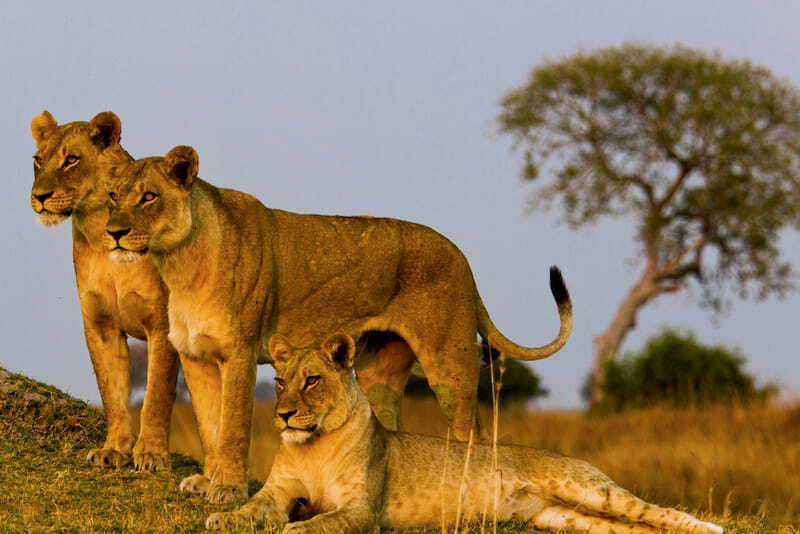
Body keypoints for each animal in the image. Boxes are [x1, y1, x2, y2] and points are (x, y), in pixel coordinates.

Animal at [29, 111, 178, 472]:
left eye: (71, 159)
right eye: (38, 160)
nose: (39, 197)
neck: (99, 232)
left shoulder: (162, 324)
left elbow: (156, 393)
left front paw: (151, 454)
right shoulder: (100, 324)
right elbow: (111, 390)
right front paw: (114, 450)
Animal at [101, 146, 576, 502]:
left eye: (148, 197)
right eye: (112, 197)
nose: (113, 233)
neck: (178, 261)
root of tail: (462, 258)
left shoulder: (239, 352)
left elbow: (233, 425)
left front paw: (229, 489)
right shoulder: (196, 355)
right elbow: (210, 426)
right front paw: (207, 481)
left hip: (449, 363)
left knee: (471, 429)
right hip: (380, 369)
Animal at [205, 336, 724, 534]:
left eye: (312, 380)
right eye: (279, 381)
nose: (283, 415)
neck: (314, 446)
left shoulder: (362, 509)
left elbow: (318, 523)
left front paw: (294, 527)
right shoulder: (277, 492)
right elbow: (249, 509)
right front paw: (223, 517)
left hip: (589, 489)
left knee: (654, 511)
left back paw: (709, 527)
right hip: (568, 520)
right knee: (634, 528)